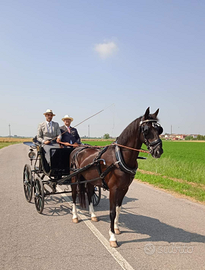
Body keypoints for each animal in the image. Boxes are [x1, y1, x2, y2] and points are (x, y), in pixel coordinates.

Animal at [69, 107, 163, 247]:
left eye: (159, 129)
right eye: (146, 130)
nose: (158, 151)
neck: (119, 158)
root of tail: (77, 149)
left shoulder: (124, 188)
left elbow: (118, 209)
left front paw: (117, 228)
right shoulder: (113, 189)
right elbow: (112, 212)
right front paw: (112, 237)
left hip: (90, 180)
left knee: (90, 194)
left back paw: (93, 215)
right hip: (75, 178)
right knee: (74, 195)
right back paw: (75, 216)